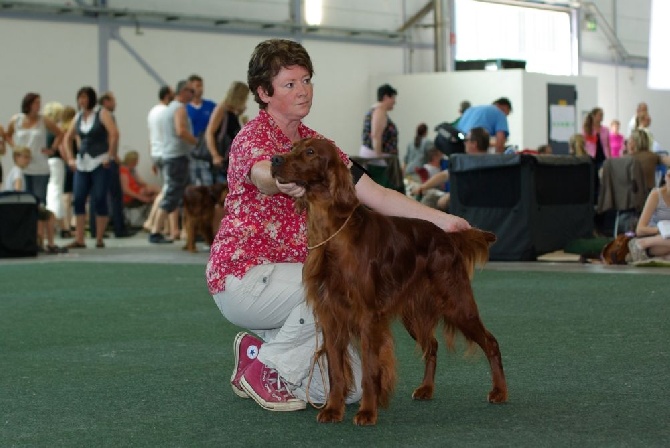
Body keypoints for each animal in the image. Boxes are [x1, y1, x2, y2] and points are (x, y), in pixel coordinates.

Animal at [270, 139, 506, 428]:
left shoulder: (368, 316)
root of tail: (447, 237)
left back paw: (499, 391)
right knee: (432, 345)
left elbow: (370, 370)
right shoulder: (331, 315)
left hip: (457, 303)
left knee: (490, 342)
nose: (274, 160)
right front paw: (333, 409)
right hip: (414, 313)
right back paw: (426, 389)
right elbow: (336, 370)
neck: (332, 233)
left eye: (310, 151)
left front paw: (367, 412)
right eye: (292, 146)